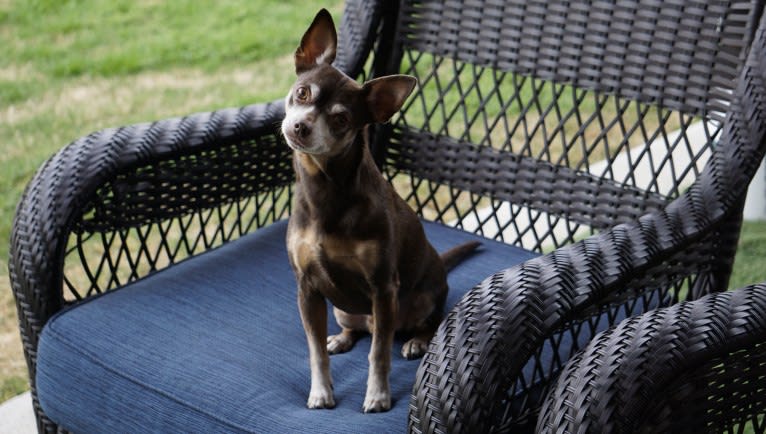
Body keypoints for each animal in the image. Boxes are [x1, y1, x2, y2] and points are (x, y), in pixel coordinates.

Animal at [284, 8, 480, 412]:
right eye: (302, 93)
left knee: (417, 325)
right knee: (356, 329)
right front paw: (321, 392)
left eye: (341, 119)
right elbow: (315, 350)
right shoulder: (307, 289)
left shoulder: (382, 289)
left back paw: (417, 340)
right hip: (342, 307)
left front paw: (377, 395)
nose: (301, 125)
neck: (324, 188)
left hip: (420, 299)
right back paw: (341, 338)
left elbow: (379, 354)